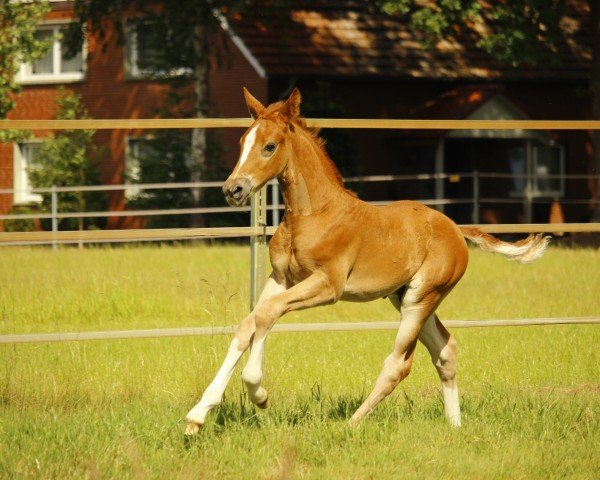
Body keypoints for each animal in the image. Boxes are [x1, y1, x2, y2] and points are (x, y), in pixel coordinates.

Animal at [185, 87, 552, 436]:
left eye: (270, 146)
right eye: (242, 142)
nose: (233, 189)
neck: (313, 214)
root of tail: (457, 230)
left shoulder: (327, 285)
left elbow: (267, 315)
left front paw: (258, 393)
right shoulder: (280, 279)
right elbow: (252, 322)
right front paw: (198, 415)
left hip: (420, 299)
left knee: (398, 365)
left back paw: (350, 425)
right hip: (405, 297)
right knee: (446, 351)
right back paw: (455, 426)